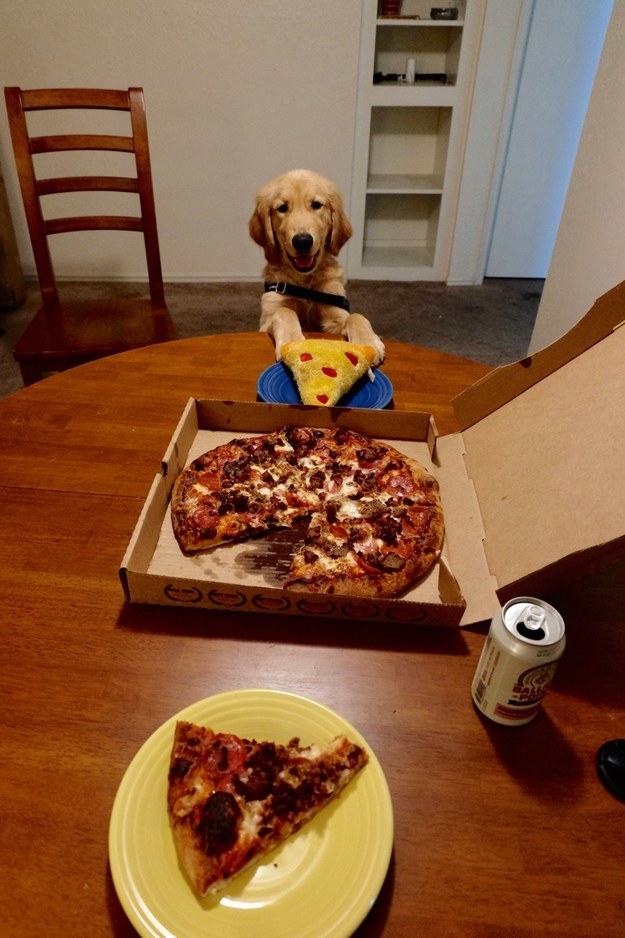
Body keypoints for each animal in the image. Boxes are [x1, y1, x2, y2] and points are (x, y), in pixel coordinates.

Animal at [249, 168, 386, 362]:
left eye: (316, 204)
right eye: (282, 208)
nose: (302, 241)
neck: (305, 286)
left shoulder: (336, 314)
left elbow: (356, 316)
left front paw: (367, 341)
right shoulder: (268, 315)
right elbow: (284, 312)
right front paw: (292, 340)